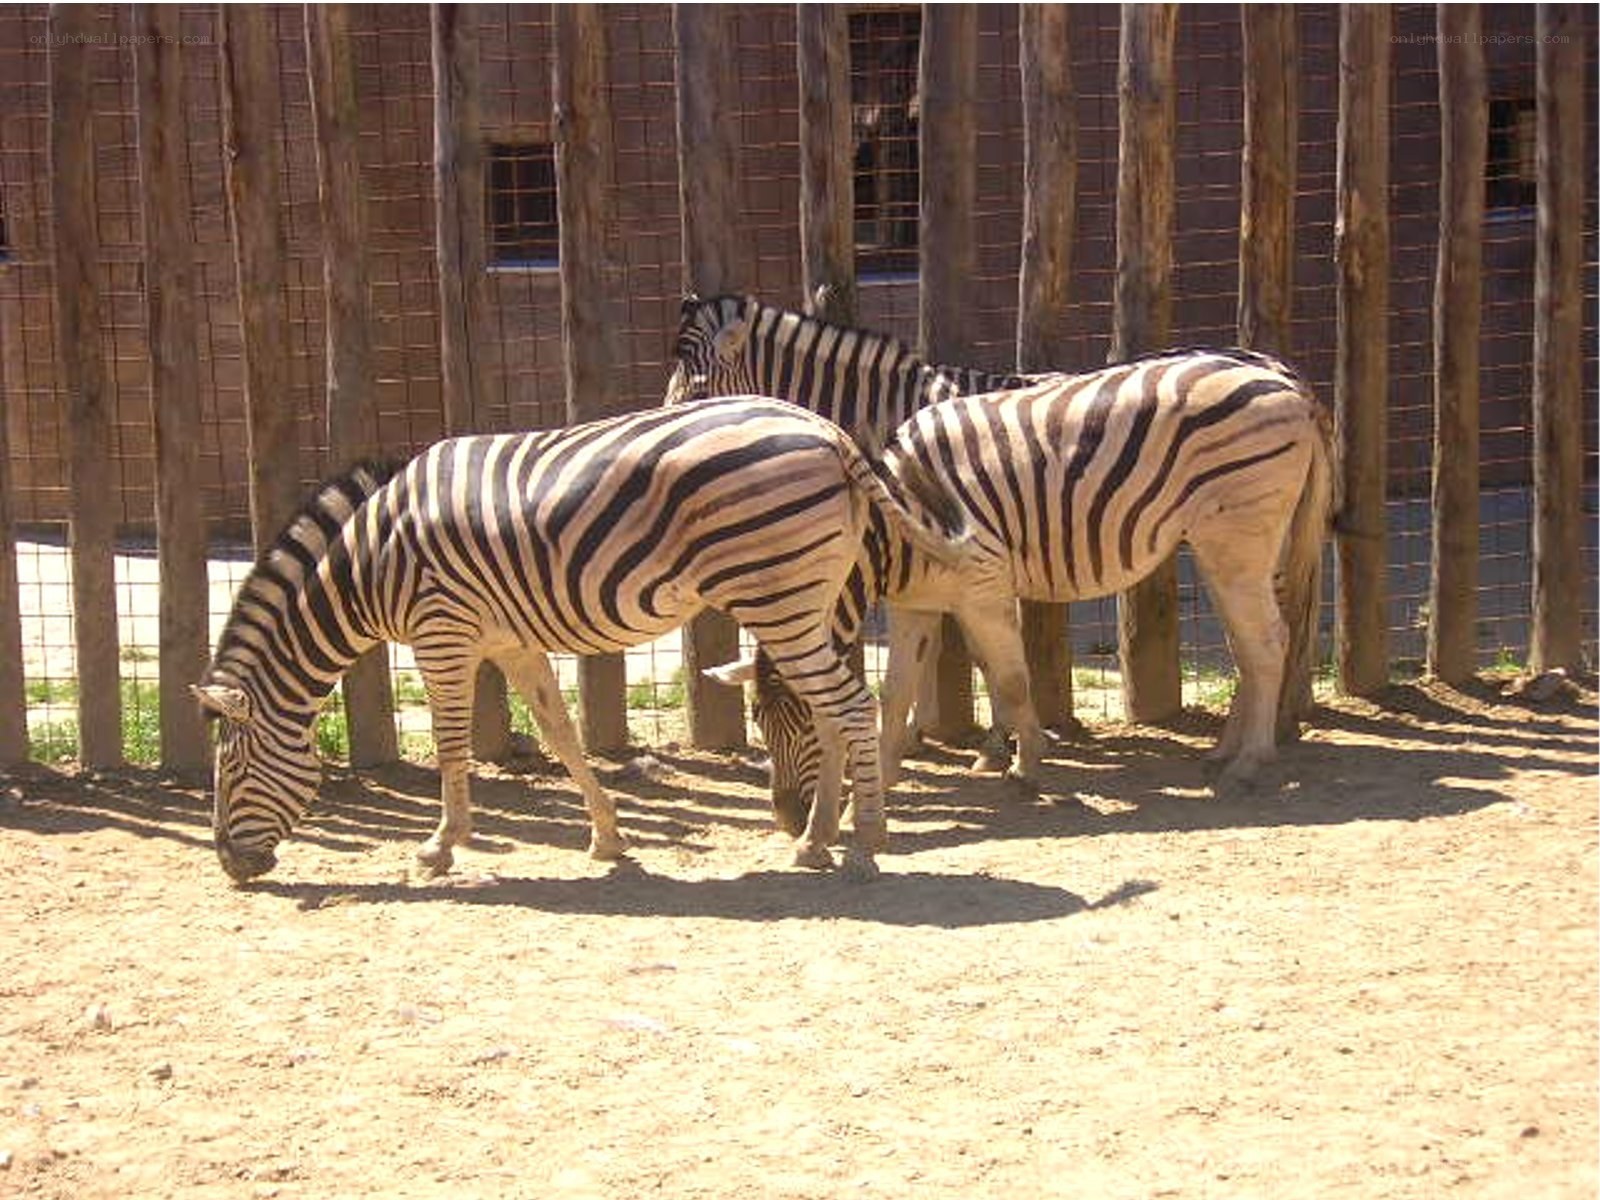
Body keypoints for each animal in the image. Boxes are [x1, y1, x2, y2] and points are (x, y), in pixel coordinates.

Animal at [193, 395, 968, 883]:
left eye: (229, 768)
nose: (230, 866)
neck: (369, 565)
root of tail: (827, 429)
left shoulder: (443, 633)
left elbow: (451, 744)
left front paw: (440, 848)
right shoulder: (509, 640)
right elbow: (561, 733)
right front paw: (608, 838)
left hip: (777, 594)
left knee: (851, 708)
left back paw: (865, 846)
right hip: (807, 599)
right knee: (832, 711)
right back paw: (814, 843)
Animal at [708, 350, 1334, 832]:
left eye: (806, 725)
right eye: (759, 723)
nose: (788, 820)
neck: (894, 524)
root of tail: (1290, 383)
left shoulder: (983, 586)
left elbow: (1010, 678)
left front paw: (1026, 765)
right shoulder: (916, 603)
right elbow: (897, 693)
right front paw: (880, 783)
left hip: (1237, 536)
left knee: (1268, 643)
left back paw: (1249, 764)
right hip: (1228, 545)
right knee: (1251, 644)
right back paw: (1226, 750)